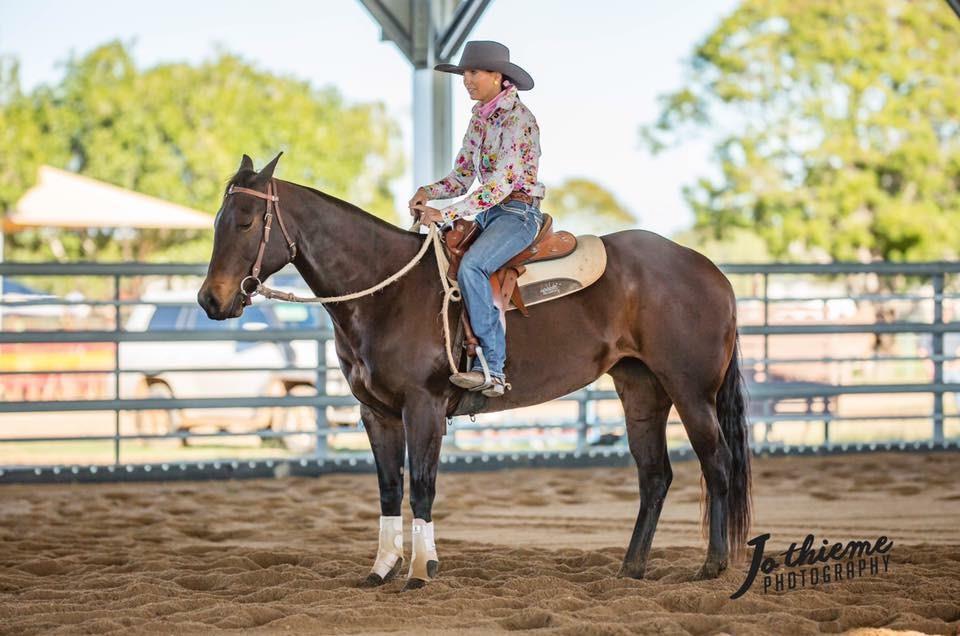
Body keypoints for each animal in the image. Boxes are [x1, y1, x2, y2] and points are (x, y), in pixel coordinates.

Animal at [198, 153, 752, 590]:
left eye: (245, 221)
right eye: (218, 221)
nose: (211, 300)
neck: (386, 290)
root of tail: (713, 272)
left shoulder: (424, 408)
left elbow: (422, 486)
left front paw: (421, 571)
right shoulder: (376, 414)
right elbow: (389, 488)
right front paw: (381, 569)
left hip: (690, 391)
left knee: (716, 463)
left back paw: (712, 565)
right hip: (640, 389)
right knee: (654, 474)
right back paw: (631, 567)